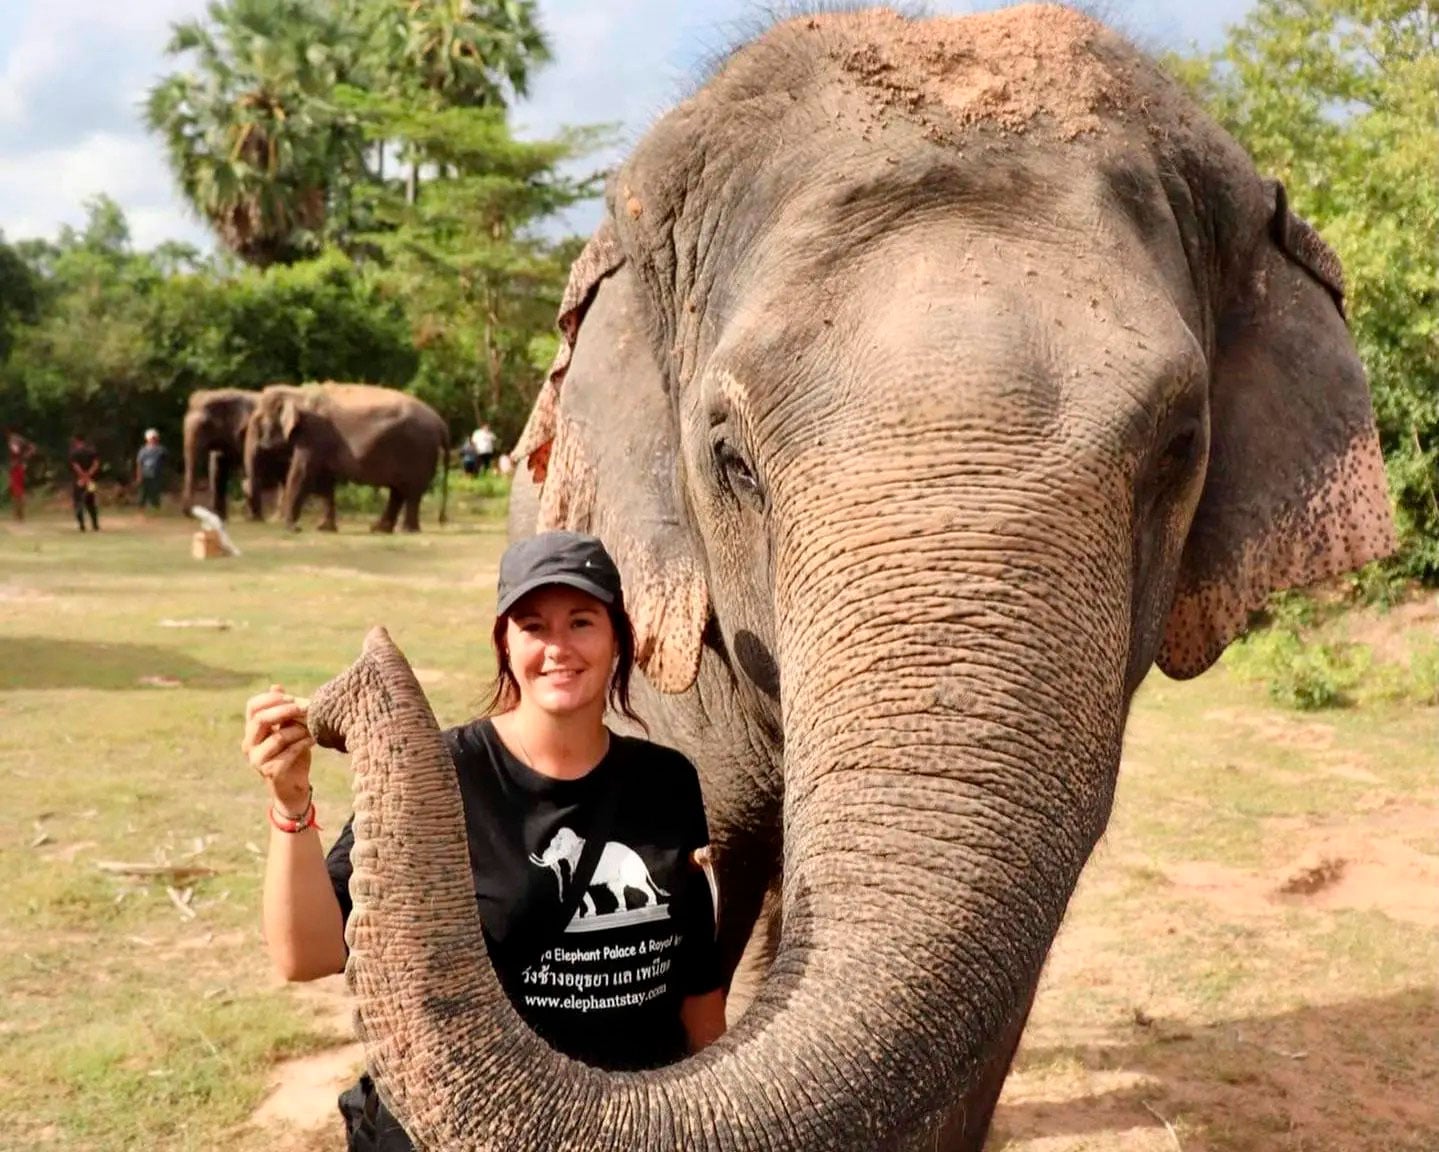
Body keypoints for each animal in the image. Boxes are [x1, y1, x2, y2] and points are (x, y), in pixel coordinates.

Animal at [180, 389, 290, 521]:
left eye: (205, 426)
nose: (190, 513)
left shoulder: (247, 433)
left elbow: (249, 468)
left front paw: (253, 517)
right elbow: (217, 469)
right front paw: (221, 518)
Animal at [244, 382, 449, 533]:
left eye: (258, 421)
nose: (258, 519)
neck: (297, 392)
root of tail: (440, 422)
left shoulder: (313, 433)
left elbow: (301, 472)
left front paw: (291, 528)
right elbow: (325, 482)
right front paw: (324, 528)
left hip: (418, 451)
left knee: (411, 492)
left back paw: (407, 531)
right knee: (398, 491)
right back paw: (379, 529)